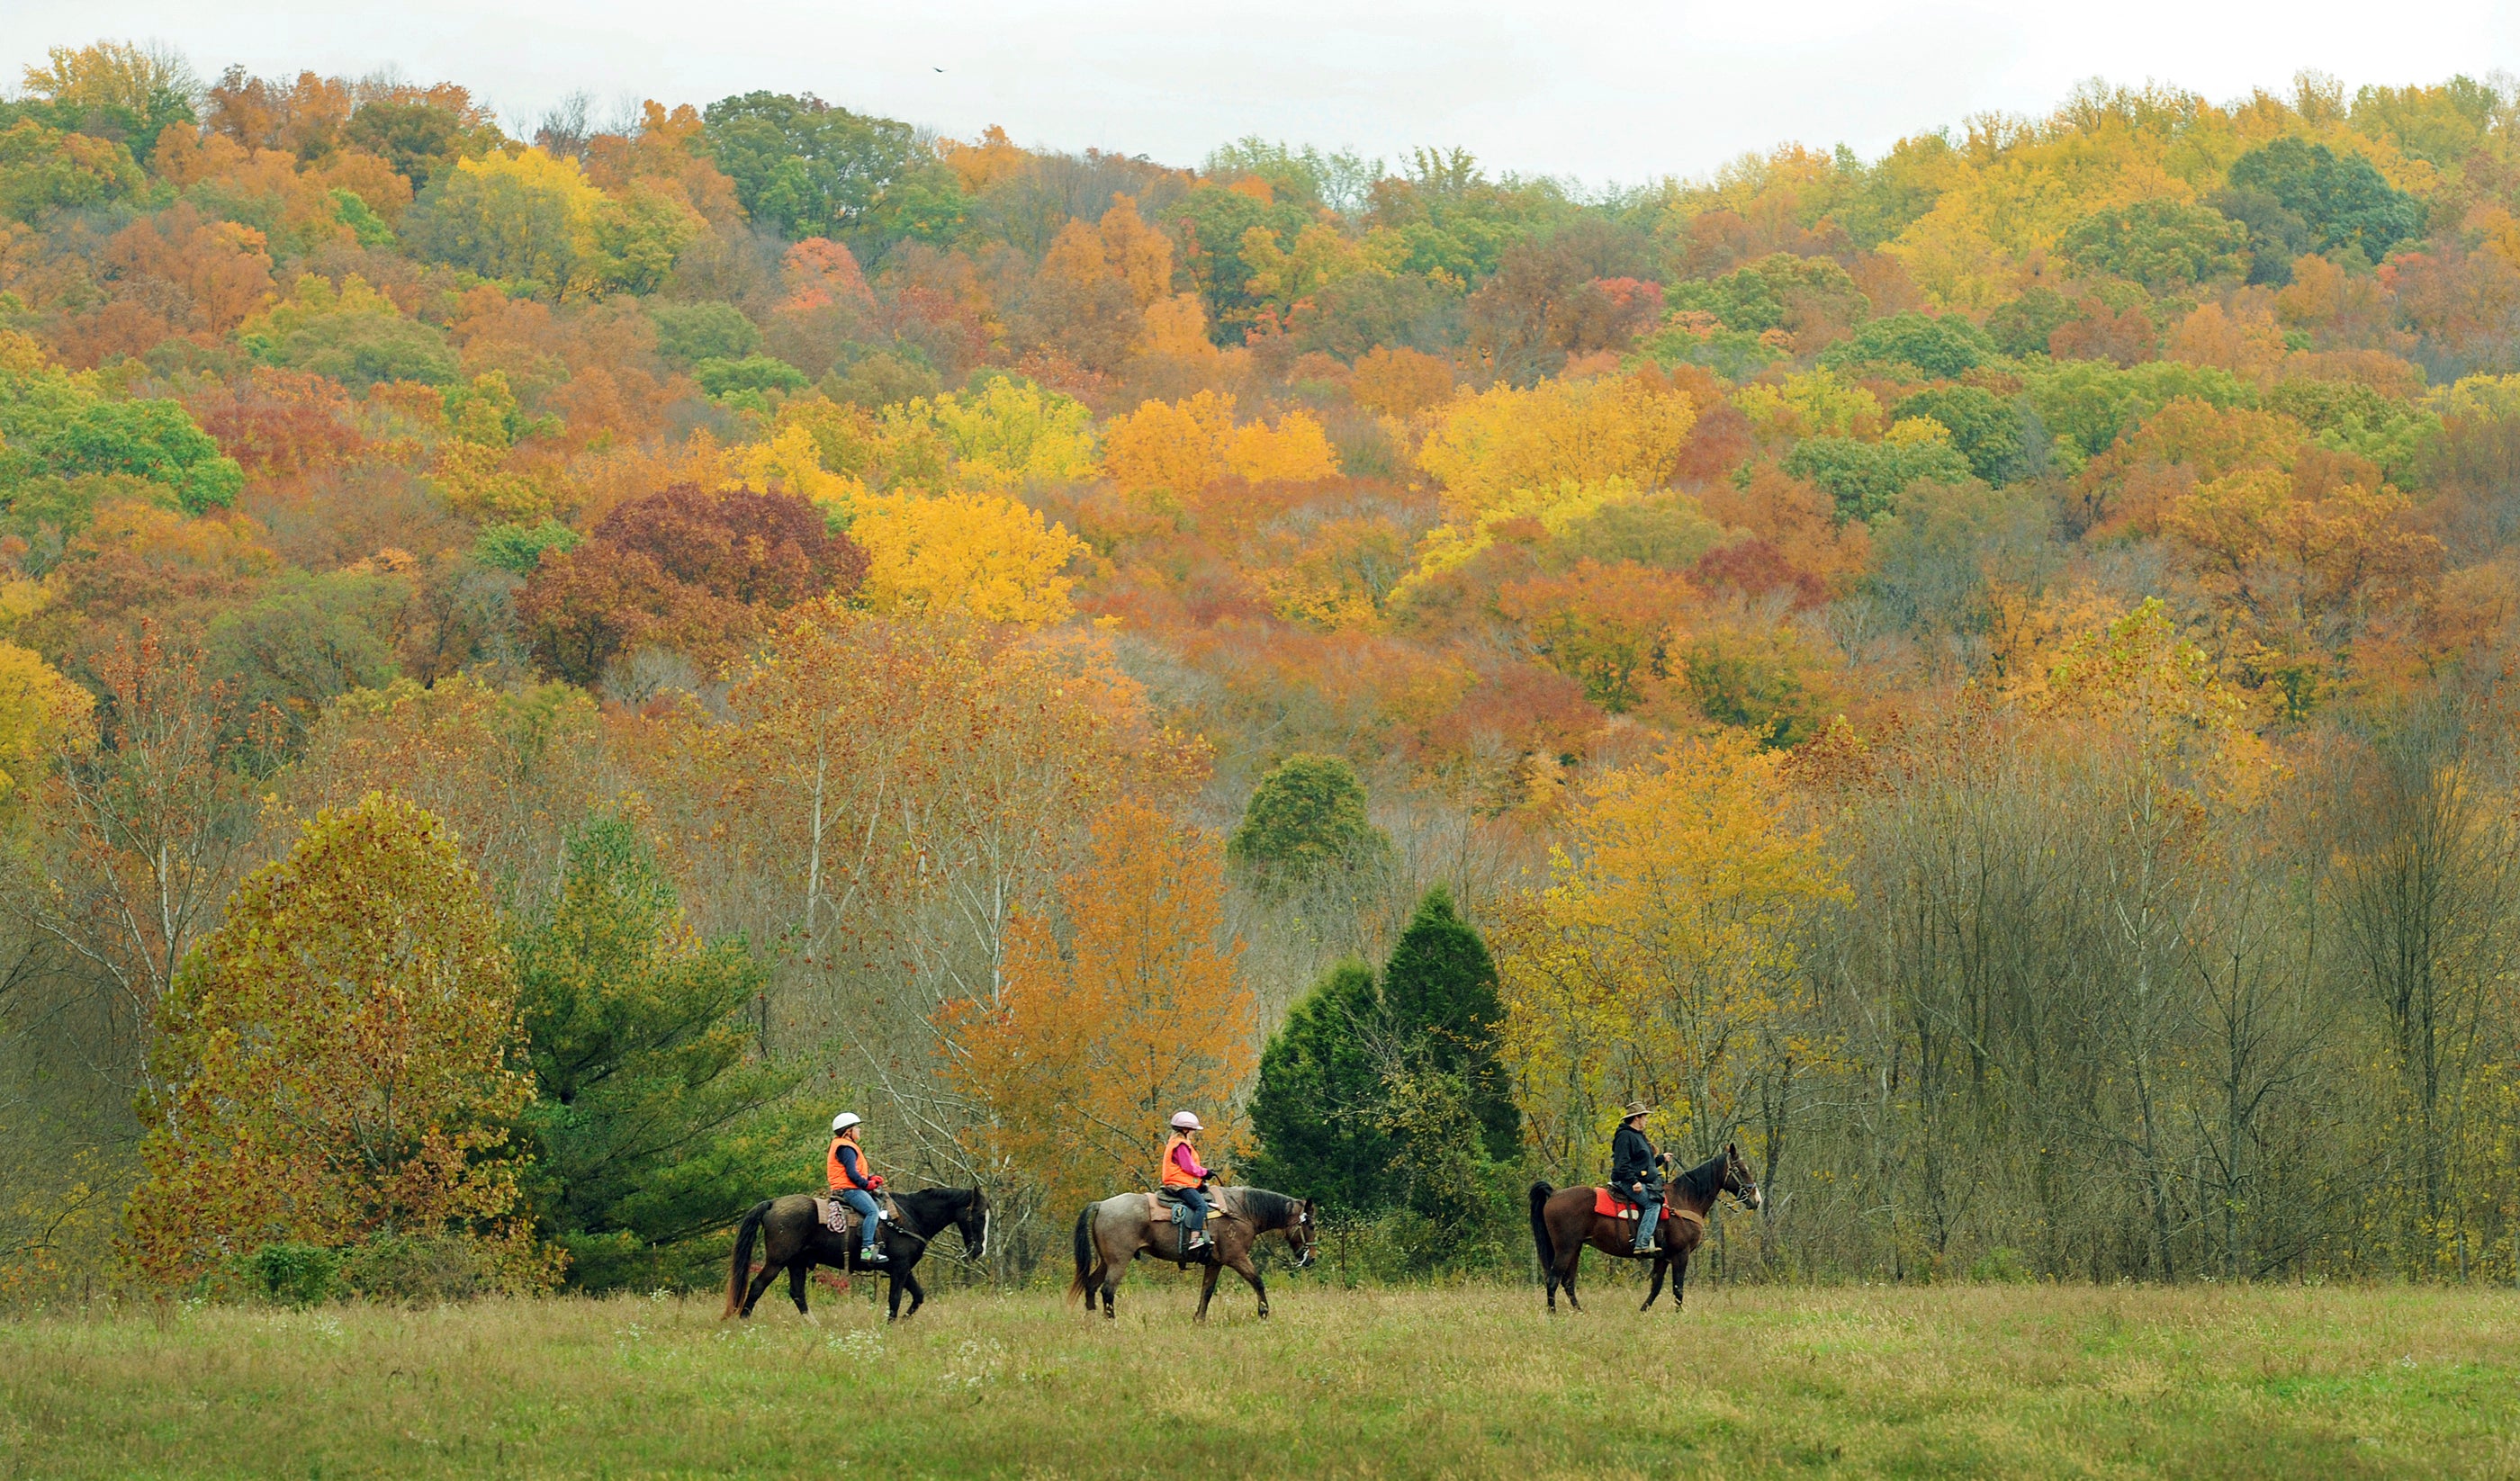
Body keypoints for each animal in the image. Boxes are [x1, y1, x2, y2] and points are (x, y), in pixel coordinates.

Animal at [725, 1183, 987, 1319]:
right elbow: (895, 1298)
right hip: (777, 1261)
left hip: (796, 1262)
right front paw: (891, 1327)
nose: (978, 1251)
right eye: (980, 1215)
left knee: (798, 1294)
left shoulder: (904, 1269)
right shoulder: (900, 1268)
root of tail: (773, 1203)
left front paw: (902, 1322)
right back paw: (744, 1322)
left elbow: (918, 1296)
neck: (910, 1216)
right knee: (757, 1286)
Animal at [1068, 1183, 1320, 1319]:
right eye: (1311, 1225)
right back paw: (1111, 1322)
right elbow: (1257, 1282)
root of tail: (1101, 1204)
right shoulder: (1237, 1258)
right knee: (1107, 1290)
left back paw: (1092, 1321)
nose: (1311, 1259)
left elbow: (1206, 1291)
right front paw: (1263, 1313)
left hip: (1105, 1261)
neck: (1241, 1211)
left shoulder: (1215, 1262)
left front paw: (1199, 1319)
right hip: (1119, 1261)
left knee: (1091, 1286)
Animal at [1522, 1138, 1764, 1309]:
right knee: (1553, 1280)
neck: (1685, 1199)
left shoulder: (1663, 1256)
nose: (1757, 1199)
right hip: (1566, 1248)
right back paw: (1553, 1315)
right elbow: (1678, 1289)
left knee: (1568, 1282)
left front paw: (1643, 1311)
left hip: (1575, 1248)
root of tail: (1554, 1194)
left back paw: (1580, 1312)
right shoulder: (1681, 1253)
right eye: (1743, 1170)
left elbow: (1656, 1287)